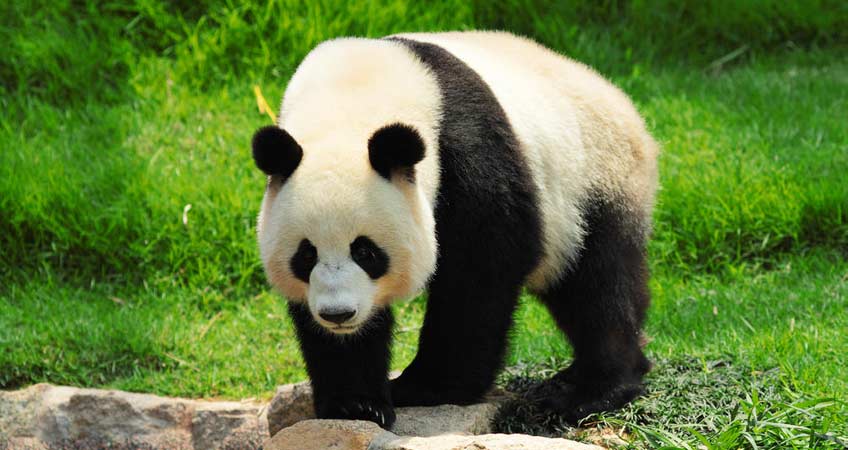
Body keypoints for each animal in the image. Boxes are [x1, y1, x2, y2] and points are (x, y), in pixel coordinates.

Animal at [252, 31, 658, 429]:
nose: (338, 314)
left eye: (365, 251)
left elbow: (481, 269)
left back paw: (588, 391)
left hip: (593, 182)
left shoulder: (466, 152)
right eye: (306, 255)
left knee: (598, 285)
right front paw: (356, 404)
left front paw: (428, 387)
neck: (350, 98)